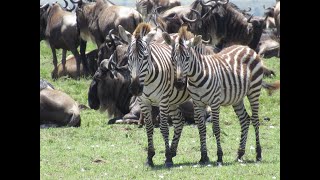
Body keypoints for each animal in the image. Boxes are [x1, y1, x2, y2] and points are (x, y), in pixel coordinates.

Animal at [118, 22, 191, 167]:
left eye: (145, 57)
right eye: (129, 58)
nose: (135, 88)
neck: (147, 80)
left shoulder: (163, 101)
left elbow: (163, 128)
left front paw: (167, 158)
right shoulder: (144, 102)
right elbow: (149, 127)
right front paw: (150, 157)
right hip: (173, 101)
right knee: (179, 121)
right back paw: (173, 151)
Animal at [162, 25, 280, 166]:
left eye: (187, 58)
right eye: (173, 59)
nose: (179, 84)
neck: (196, 77)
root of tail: (247, 47)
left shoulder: (214, 102)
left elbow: (216, 128)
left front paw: (219, 156)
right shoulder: (198, 103)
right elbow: (201, 128)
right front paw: (203, 157)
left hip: (254, 91)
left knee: (255, 120)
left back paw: (258, 154)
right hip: (237, 98)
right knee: (245, 120)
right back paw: (240, 153)